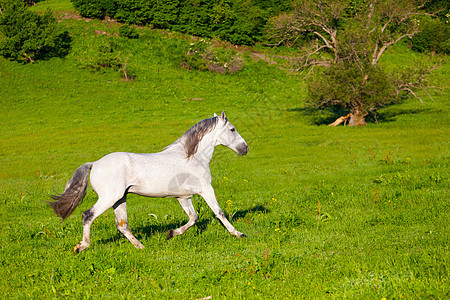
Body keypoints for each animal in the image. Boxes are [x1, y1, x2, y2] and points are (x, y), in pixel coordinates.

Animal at [49, 112, 250, 253]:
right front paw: (239, 234)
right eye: (232, 129)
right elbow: (219, 212)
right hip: (109, 197)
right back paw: (81, 246)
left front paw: (171, 233)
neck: (193, 157)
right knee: (88, 215)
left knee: (122, 225)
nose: (245, 149)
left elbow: (193, 218)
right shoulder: (206, 190)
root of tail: (95, 163)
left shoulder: (183, 197)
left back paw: (141, 247)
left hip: (120, 199)